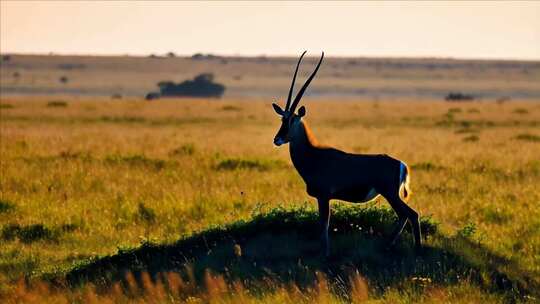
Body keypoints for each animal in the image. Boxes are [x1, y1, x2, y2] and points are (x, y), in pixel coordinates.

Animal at [272, 51, 420, 256]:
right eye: (282, 119)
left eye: (293, 120)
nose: (277, 139)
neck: (314, 156)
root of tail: (401, 164)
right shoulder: (323, 197)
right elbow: (323, 225)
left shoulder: (324, 196)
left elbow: (324, 225)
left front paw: (325, 254)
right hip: (391, 195)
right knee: (404, 216)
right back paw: (388, 246)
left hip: (390, 194)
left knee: (411, 214)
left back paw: (416, 250)